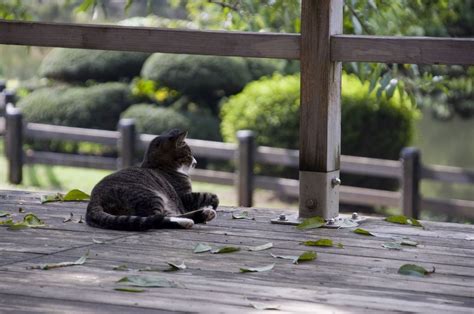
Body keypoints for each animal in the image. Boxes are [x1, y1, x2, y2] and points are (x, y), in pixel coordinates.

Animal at [85, 128, 218, 231]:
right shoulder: (184, 197)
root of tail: (94, 199)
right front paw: (213, 202)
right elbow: (206, 195)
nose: (196, 162)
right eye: (189, 154)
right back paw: (193, 219)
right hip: (152, 196)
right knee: (155, 219)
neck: (157, 165)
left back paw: (204, 214)